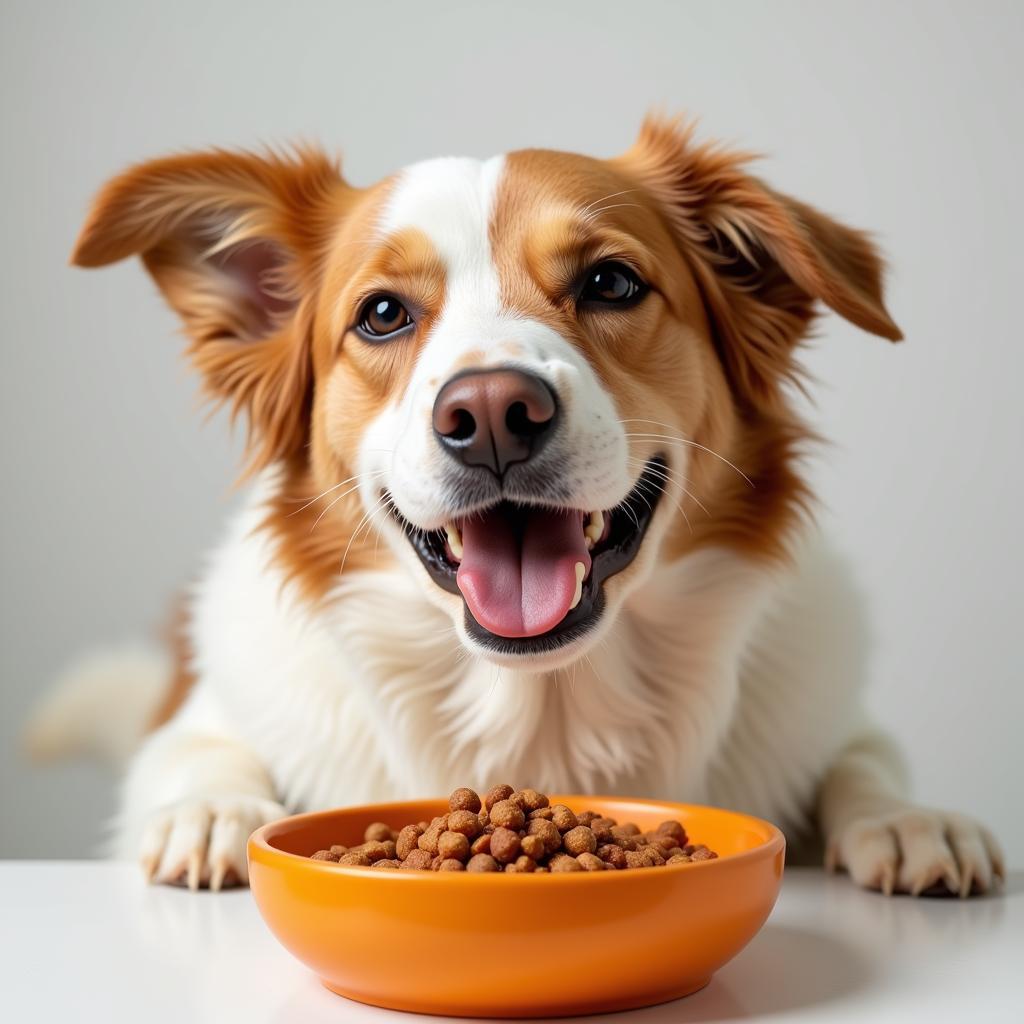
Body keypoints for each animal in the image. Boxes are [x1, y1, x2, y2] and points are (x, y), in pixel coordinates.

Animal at [32, 114, 999, 897]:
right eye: (381, 313)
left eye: (611, 283)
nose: (493, 413)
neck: (543, 706)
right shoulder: (209, 711)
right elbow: (193, 751)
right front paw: (212, 815)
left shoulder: (824, 719)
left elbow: (864, 758)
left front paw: (910, 820)